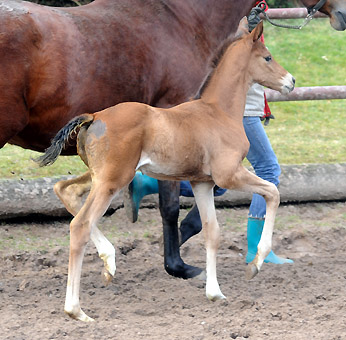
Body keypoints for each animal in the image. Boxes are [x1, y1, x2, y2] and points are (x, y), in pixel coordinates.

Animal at [39, 19, 294, 322]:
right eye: (267, 57)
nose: (291, 81)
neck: (218, 112)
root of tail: (94, 116)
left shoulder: (202, 183)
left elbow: (212, 232)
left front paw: (215, 293)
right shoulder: (229, 175)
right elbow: (273, 193)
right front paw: (255, 264)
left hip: (101, 176)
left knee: (65, 190)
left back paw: (109, 262)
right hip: (112, 179)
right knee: (80, 225)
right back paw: (76, 310)